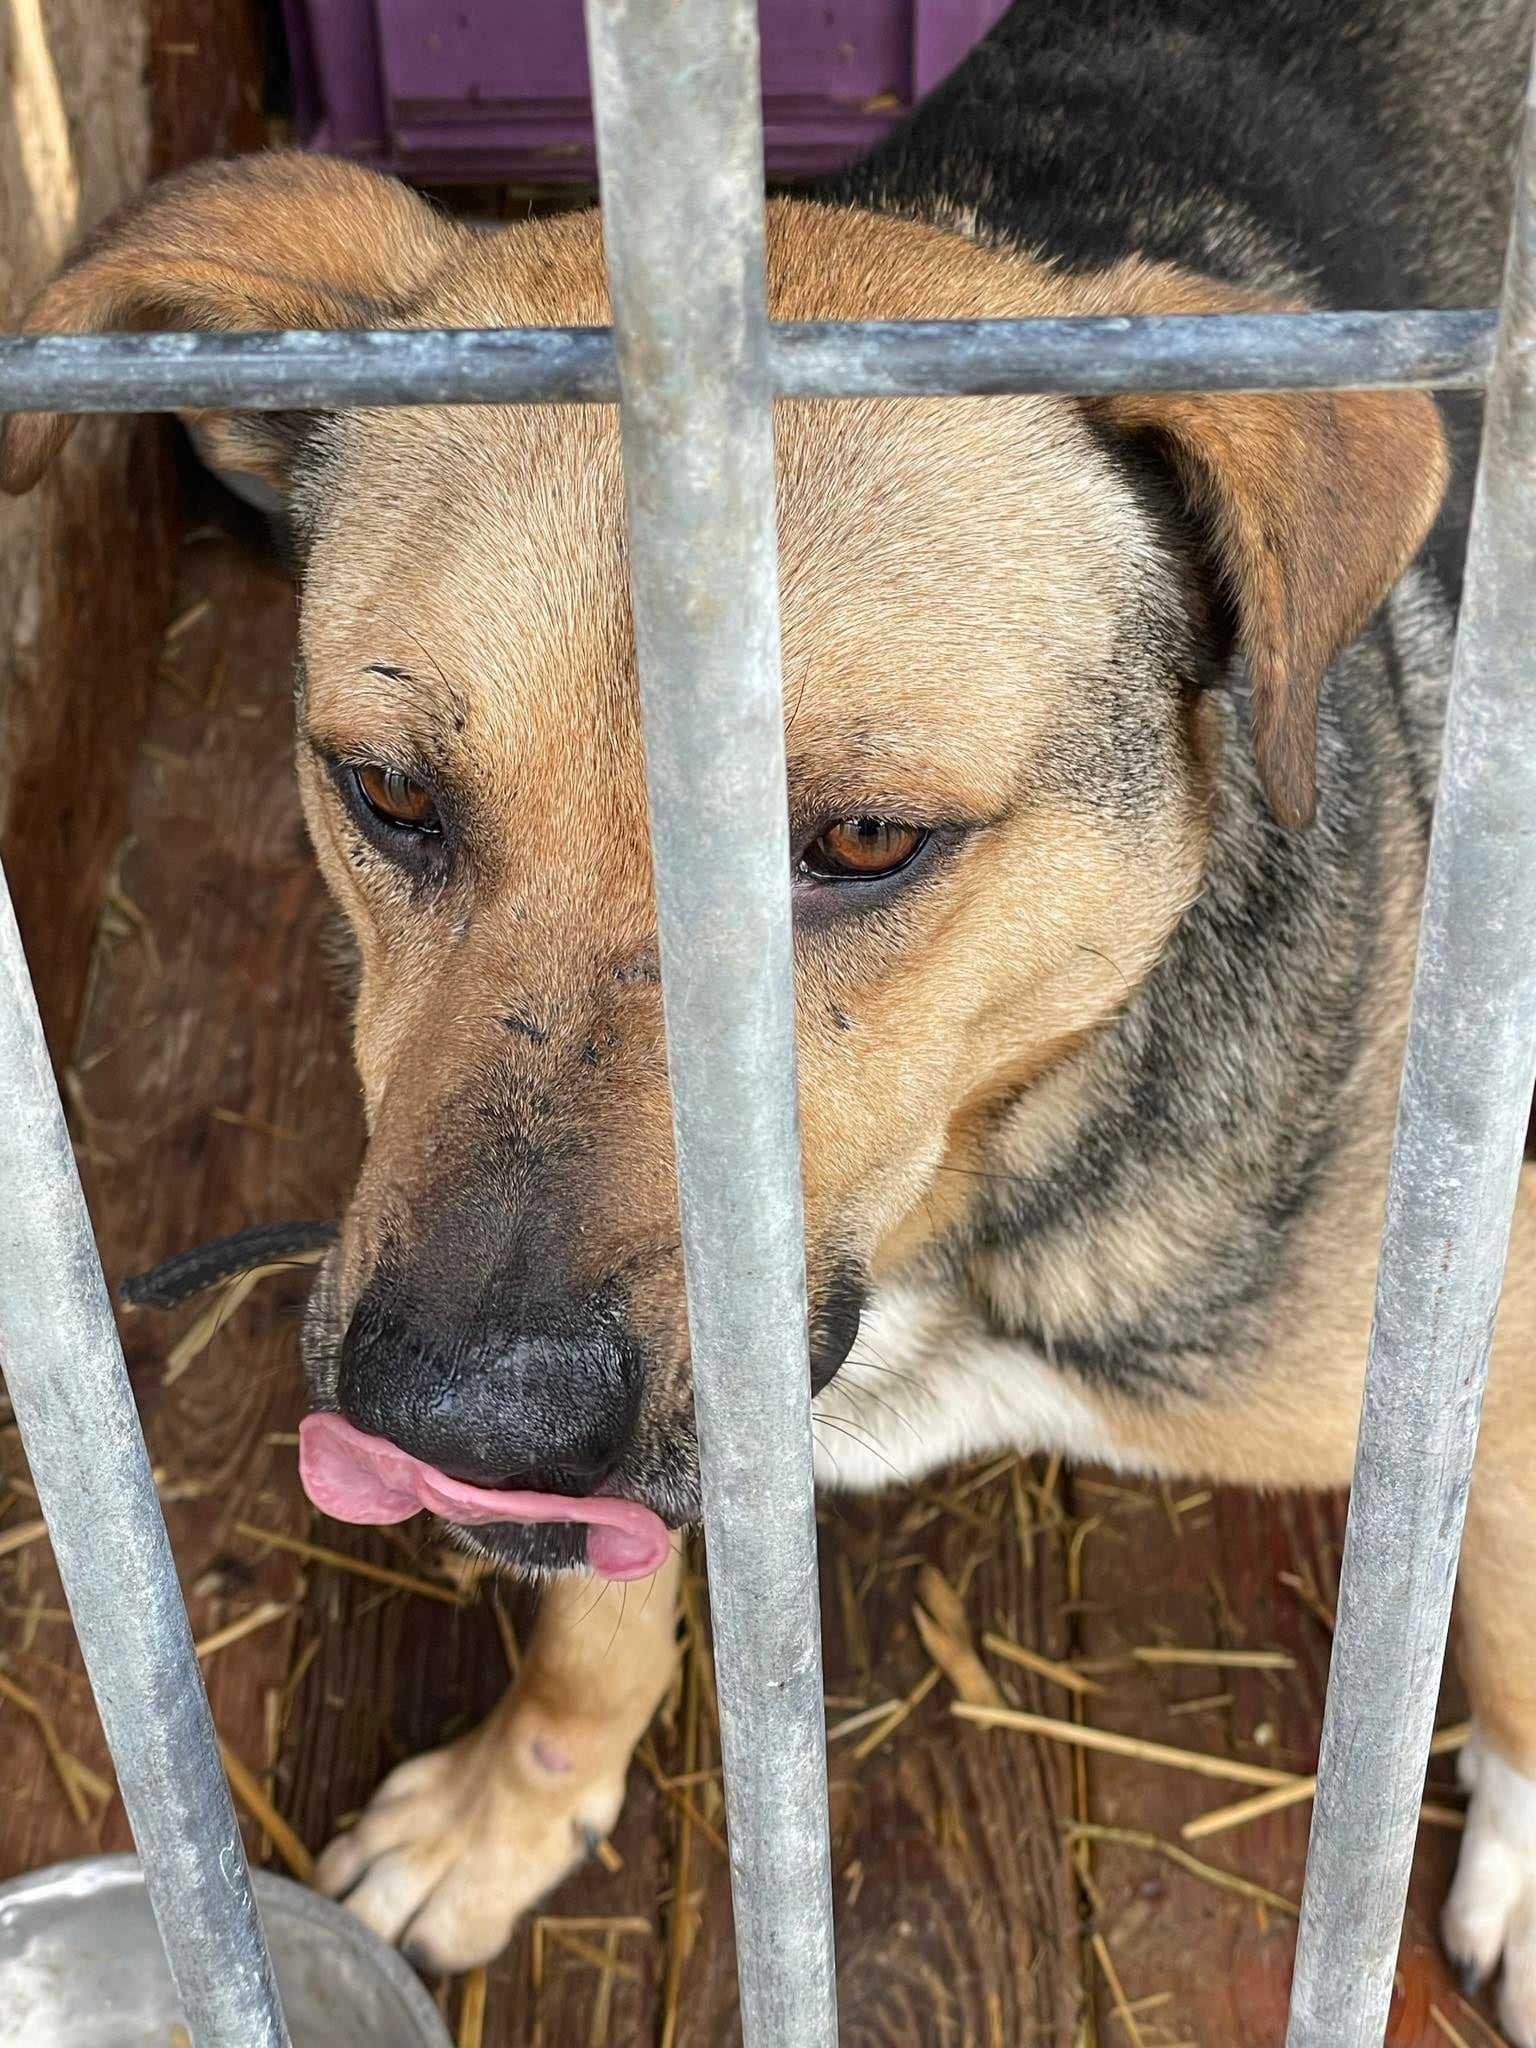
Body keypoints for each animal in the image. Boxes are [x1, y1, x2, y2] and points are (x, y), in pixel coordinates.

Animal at [9, 4, 1536, 2031]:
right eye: (386, 792)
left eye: (869, 841)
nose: (451, 1420)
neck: (960, 1226)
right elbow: (594, 1613)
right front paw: (516, 1802)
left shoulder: (1480, 1335)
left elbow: (1509, 1616)